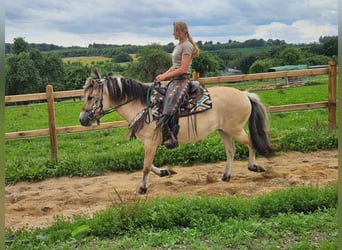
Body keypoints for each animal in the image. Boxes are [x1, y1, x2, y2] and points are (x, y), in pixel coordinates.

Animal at [79, 71, 274, 194]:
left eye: (91, 97)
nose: (82, 119)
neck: (144, 107)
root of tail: (245, 94)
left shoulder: (151, 142)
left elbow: (145, 166)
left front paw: (142, 188)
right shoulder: (150, 143)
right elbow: (149, 164)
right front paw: (165, 172)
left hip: (235, 129)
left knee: (251, 143)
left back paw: (253, 166)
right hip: (224, 130)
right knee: (231, 151)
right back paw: (226, 176)